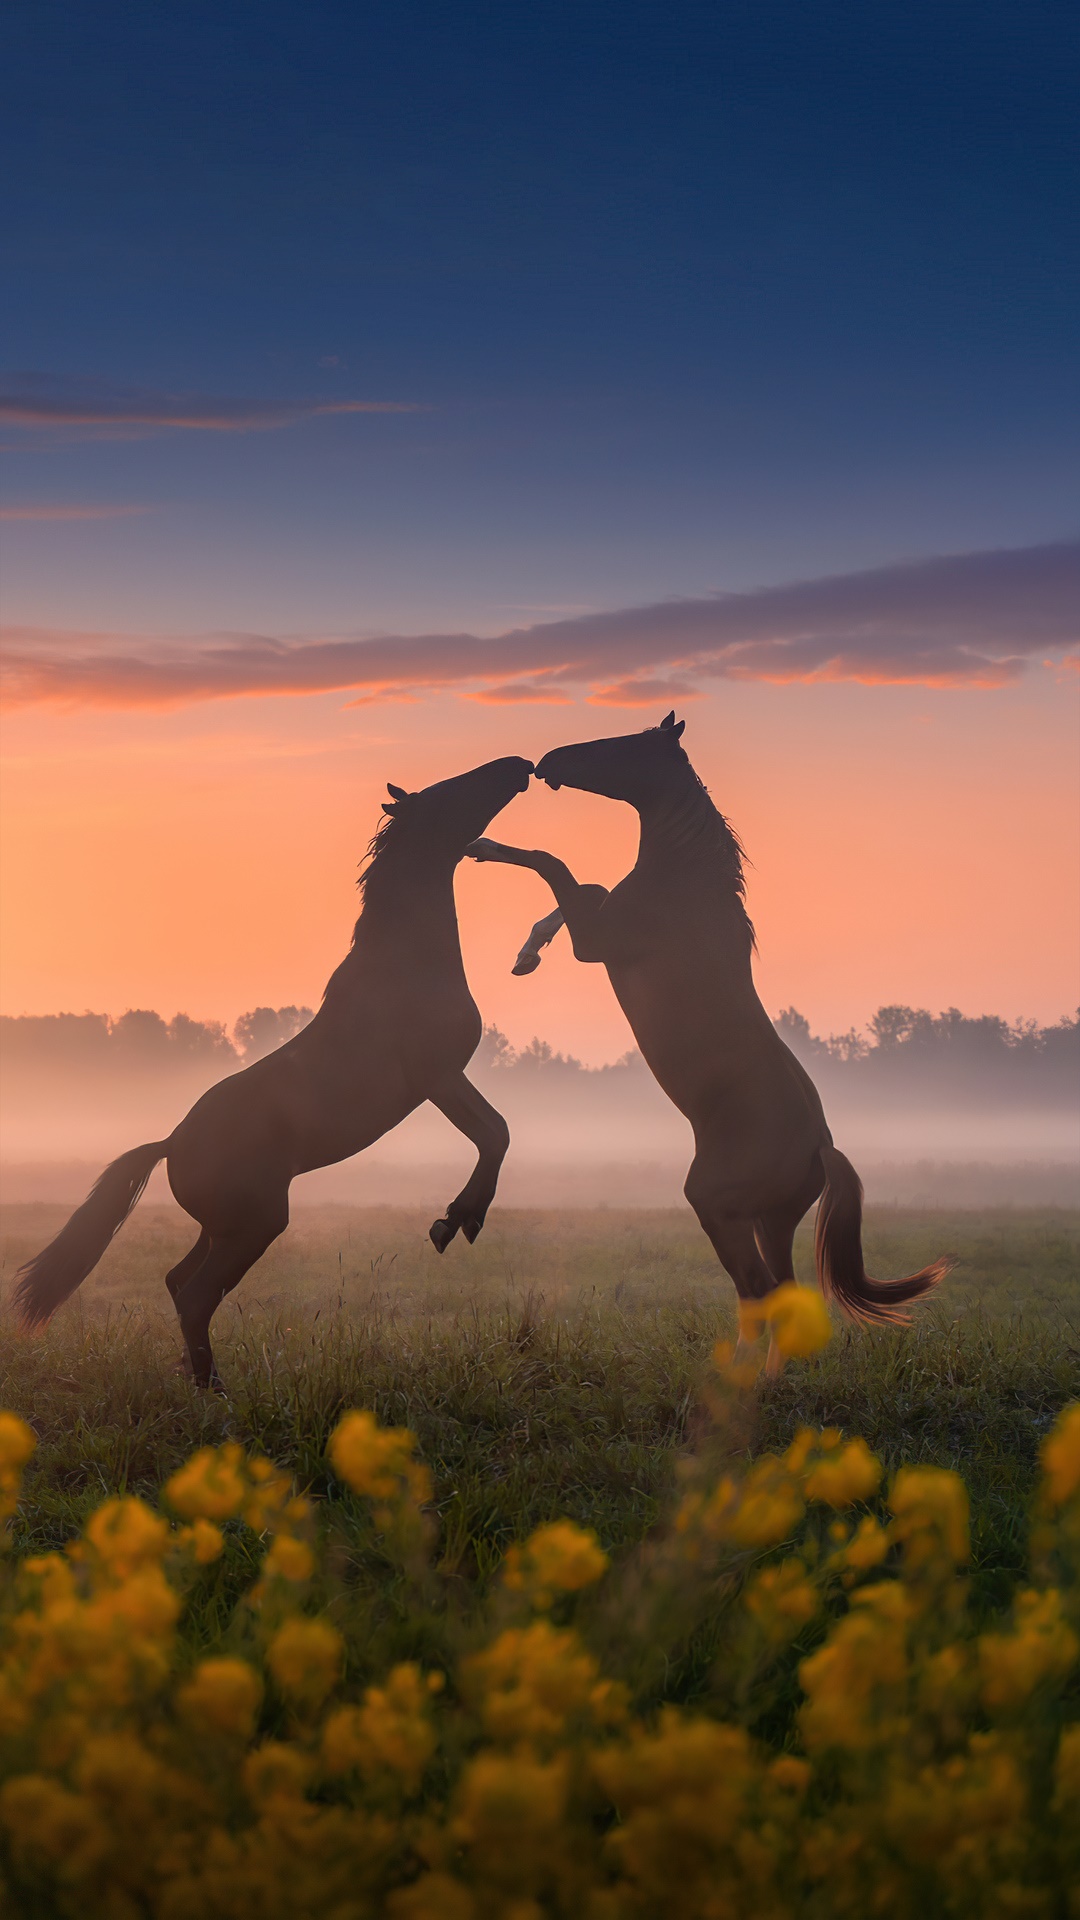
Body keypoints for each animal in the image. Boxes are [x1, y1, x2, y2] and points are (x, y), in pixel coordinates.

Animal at [15, 755, 534, 1387]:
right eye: (448, 792)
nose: (517, 765)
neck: (409, 963)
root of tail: (170, 1143)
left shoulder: (445, 1079)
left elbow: (495, 1133)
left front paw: (457, 1219)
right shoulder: (439, 1077)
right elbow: (495, 1133)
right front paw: (458, 1220)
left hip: (223, 1228)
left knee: (177, 1282)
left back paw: (200, 1380)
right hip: (255, 1224)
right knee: (195, 1296)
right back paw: (216, 1393)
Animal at [469, 716, 948, 1361]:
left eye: (625, 745)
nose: (547, 763)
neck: (683, 888)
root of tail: (820, 1148)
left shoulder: (596, 941)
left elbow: (557, 867)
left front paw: (482, 849)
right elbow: (580, 885)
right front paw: (526, 954)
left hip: (719, 1209)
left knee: (759, 1289)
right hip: (770, 1221)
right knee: (783, 1294)